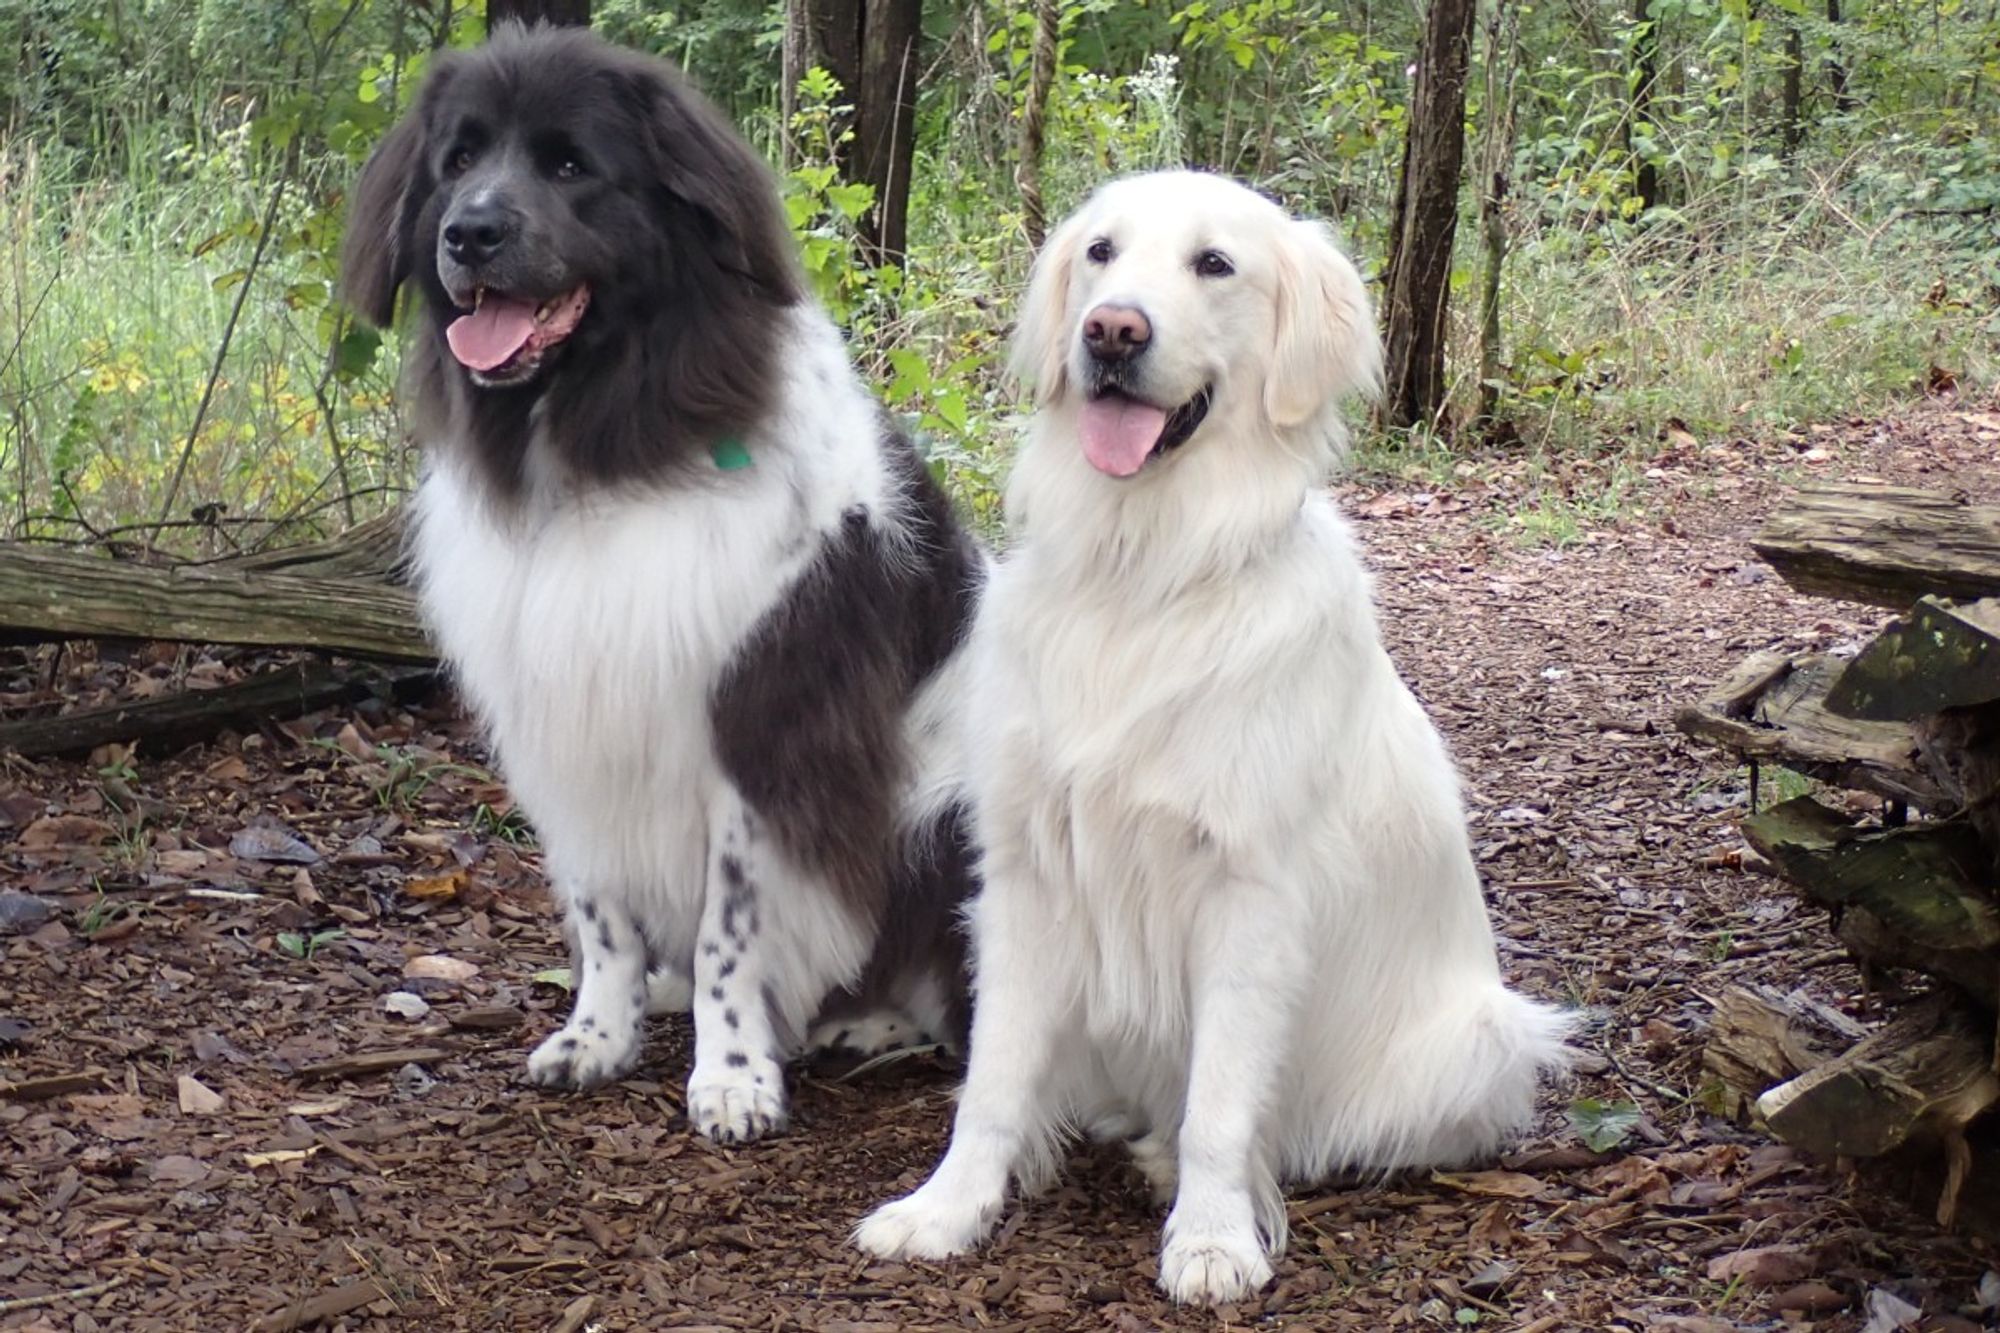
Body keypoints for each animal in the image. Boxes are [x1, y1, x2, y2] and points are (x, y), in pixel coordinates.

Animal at [344, 26, 984, 1136]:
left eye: (569, 166)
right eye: (457, 161)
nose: (468, 233)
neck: (598, 442)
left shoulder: (756, 730)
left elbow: (736, 925)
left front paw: (732, 1074)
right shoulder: (567, 732)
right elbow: (601, 914)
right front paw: (601, 1034)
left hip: (948, 812)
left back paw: (861, 1025)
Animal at [852, 171, 1568, 1304]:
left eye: (1214, 264)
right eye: (1100, 252)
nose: (1110, 330)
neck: (1142, 573)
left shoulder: (1248, 895)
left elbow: (1222, 1106)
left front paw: (1212, 1236)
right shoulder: (1025, 877)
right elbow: (993, 1081)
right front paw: (947, 1208)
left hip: (1485, 1035)